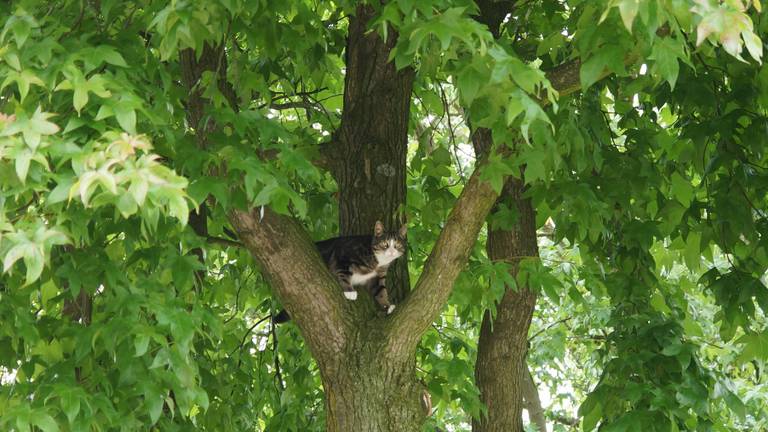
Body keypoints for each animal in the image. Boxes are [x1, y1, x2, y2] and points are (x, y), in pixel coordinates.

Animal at [274, 221, 408, 322]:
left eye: (397, 245)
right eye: (385, 244)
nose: (391, 251)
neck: (377, 261)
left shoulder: (377, 277)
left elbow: (381, 291)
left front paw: (387, 306)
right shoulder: (343, 256)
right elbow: (343, 273)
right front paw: (349, 291)